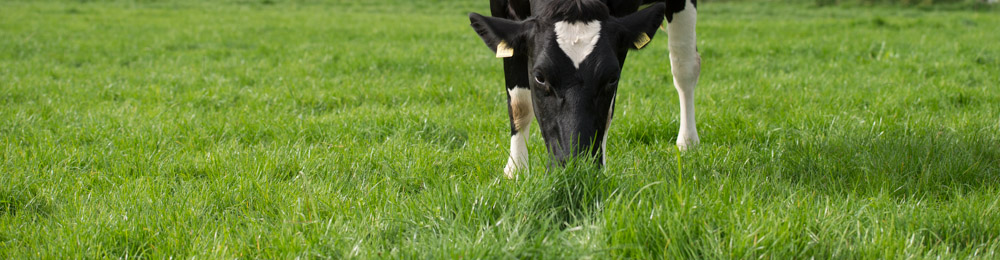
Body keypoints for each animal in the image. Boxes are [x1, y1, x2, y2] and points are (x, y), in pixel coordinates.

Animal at [470, 0, 700, 178]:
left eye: (612, 78)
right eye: (540, 77)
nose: (576, 166)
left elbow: (608, 112)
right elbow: (519, 104)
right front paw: (515, 171)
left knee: (684, 68)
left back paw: (687, 142)